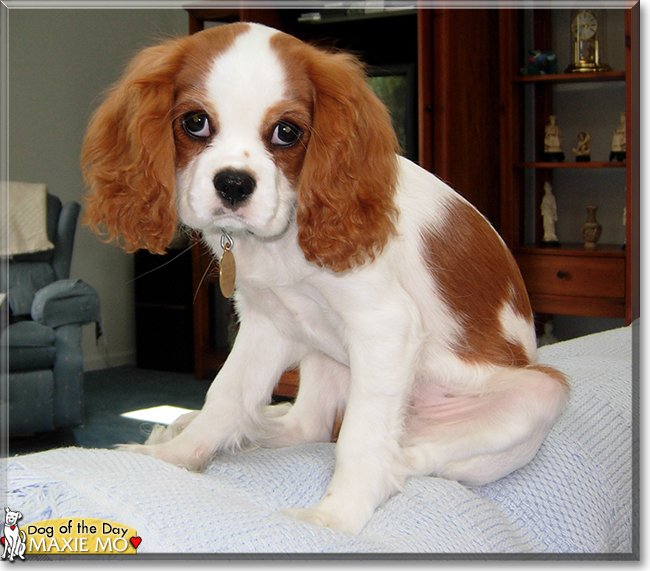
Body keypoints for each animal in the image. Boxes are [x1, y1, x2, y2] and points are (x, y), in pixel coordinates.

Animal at [82, 22, 568, 536]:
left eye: (287, 132)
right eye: (195, 122)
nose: (233, 183)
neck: (283, 236)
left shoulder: (384, 326)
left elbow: (361, 438)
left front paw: (338, 515)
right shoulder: (266, 324)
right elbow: (226, 394)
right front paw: (177, 456)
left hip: (537, 394)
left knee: (407, 454)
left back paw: (390, 462)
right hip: (324, 356)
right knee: (307, 425)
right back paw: (240, 430)